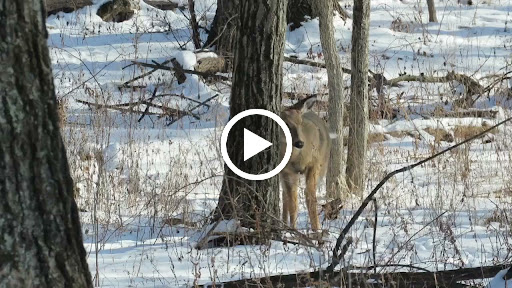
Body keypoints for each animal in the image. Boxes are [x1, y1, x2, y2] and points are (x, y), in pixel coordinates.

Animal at [278, 95, 330, 233]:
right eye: (285, 123)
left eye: (300, 122)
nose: (300, 143)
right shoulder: (287, 171)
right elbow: (292, 200)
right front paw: (293, 228)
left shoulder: (314, 164)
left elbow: (310, 195)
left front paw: (316, 228)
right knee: (285, 195)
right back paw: (284, 224)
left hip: (323, 164)